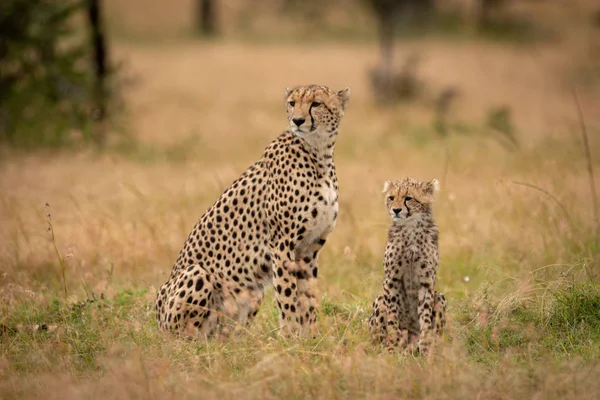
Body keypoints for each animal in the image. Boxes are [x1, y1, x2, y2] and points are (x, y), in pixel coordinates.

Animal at [156, 83, 352, 338]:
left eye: (316, 104)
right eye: (292, 103)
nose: (298, 121)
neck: (319, 152)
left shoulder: (310, 247)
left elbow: (308, 297)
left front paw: (311, 337)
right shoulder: (282, 244)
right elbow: (287, 295)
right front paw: (289, 338)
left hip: (252, 293)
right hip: (196, 274)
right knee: (184, 337)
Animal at [368, 177, 448, 354]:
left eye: (408, 198)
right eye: (391, 197)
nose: (396, 210)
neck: (411, 227)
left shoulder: (426, 282)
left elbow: (425, 316)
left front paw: (425, 347)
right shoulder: (392, 279)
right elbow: (392, 315)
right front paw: (392, 345)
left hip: (440, 297)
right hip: (379, 300)